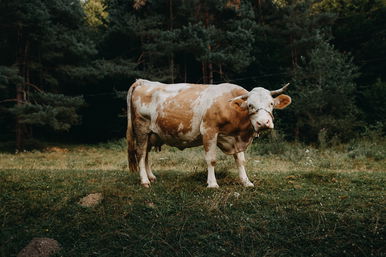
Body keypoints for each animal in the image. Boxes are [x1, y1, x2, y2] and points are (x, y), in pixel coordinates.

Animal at [125, 79, 292, 187]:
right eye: (250, 105)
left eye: (271, 104)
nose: (263, 123)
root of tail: (143, 82)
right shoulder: (209, 131)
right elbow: (211, 160)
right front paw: (212, 183)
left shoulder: (235, 137)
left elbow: (241, 160)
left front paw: (246, 181)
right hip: (141, 129)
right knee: (140, 153)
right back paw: (144, 180)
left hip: (151, 134)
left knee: (146, 154)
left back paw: (151, 176)